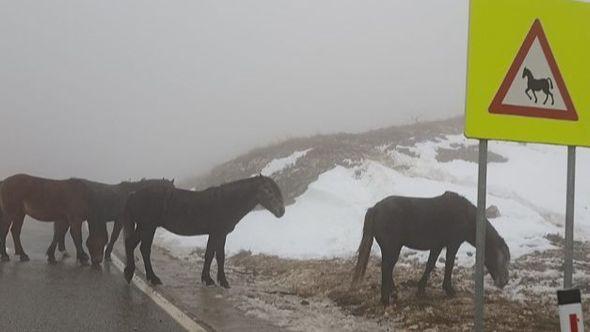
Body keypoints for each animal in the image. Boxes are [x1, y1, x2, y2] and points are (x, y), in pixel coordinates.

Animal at [47, 179, 175, 264]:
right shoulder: (120, 220)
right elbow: (115, 236)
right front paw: (108, 255)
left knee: (61, 231)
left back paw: (62, 252)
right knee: (64, 232)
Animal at [123, 175, 286, 286]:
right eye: (268, 190)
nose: (281, 211)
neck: (227, 202)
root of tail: (132, 195)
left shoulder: (219, 235)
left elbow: (215, 256)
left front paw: (215, 280)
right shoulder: (217, 233)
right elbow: (214, 256)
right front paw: (215, 280)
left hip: (145, 228)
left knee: (136, 246)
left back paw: (137, 274)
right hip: (147, 227)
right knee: (140, 248)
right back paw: (145, 276)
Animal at [352, 192, 512, 306]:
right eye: (502, 258)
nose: (504, 281)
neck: (466, 216)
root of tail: (375, 209)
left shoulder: (437, 245)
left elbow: (430, 265)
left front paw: (421, 290)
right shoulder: (453, 244)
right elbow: (449, 265)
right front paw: (449, 290)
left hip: (390, 249)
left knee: (388, 268)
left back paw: (394, 293)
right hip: (392, 247)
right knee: (386, 268)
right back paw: (385, 299)